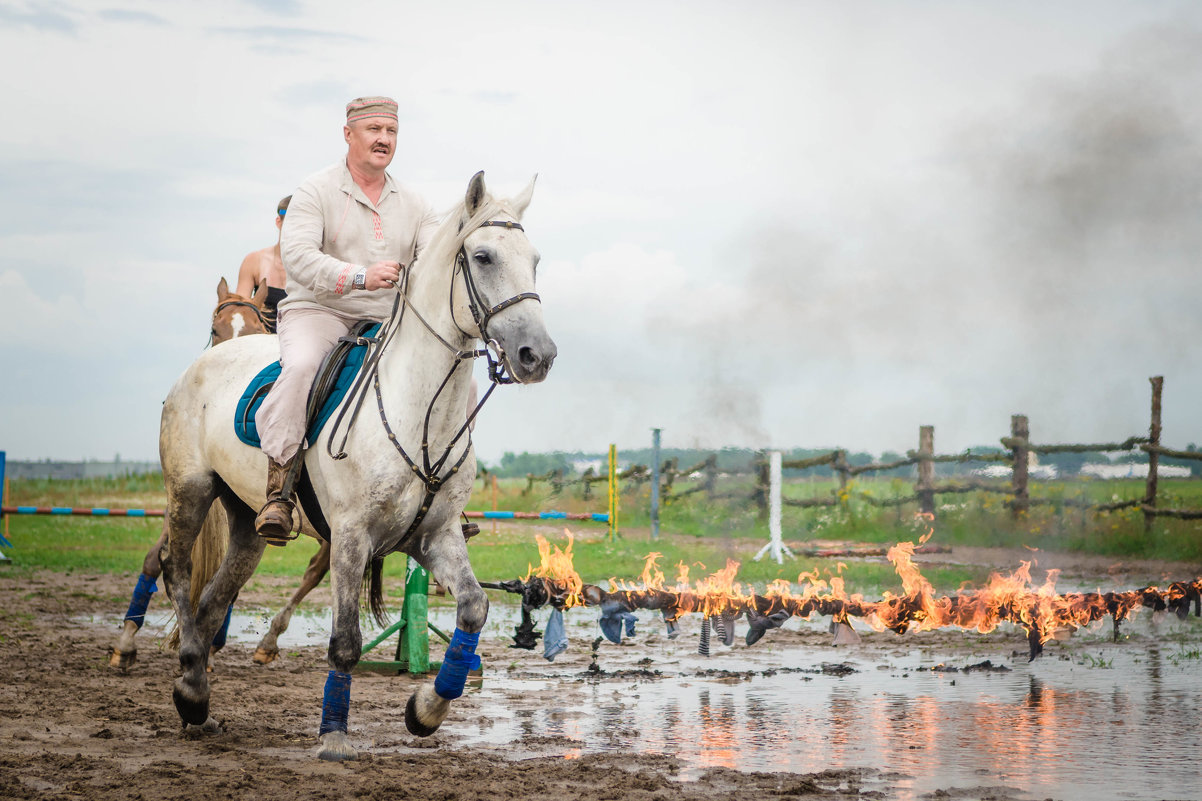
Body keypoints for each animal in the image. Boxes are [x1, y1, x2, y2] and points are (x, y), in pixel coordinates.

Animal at [157, 171, 555, 760]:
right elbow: (345, 642)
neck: (419, 408)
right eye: (482, 256)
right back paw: (188, 687)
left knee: (215, 598)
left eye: (534, 260)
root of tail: (202, 363)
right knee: (179, 574)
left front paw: (427, 709)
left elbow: (473, 608)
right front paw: (334, 735)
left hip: (246, 524)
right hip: (189, 491)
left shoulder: (436, 537)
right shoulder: (350, 536)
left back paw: (198, 693)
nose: (538, 355)